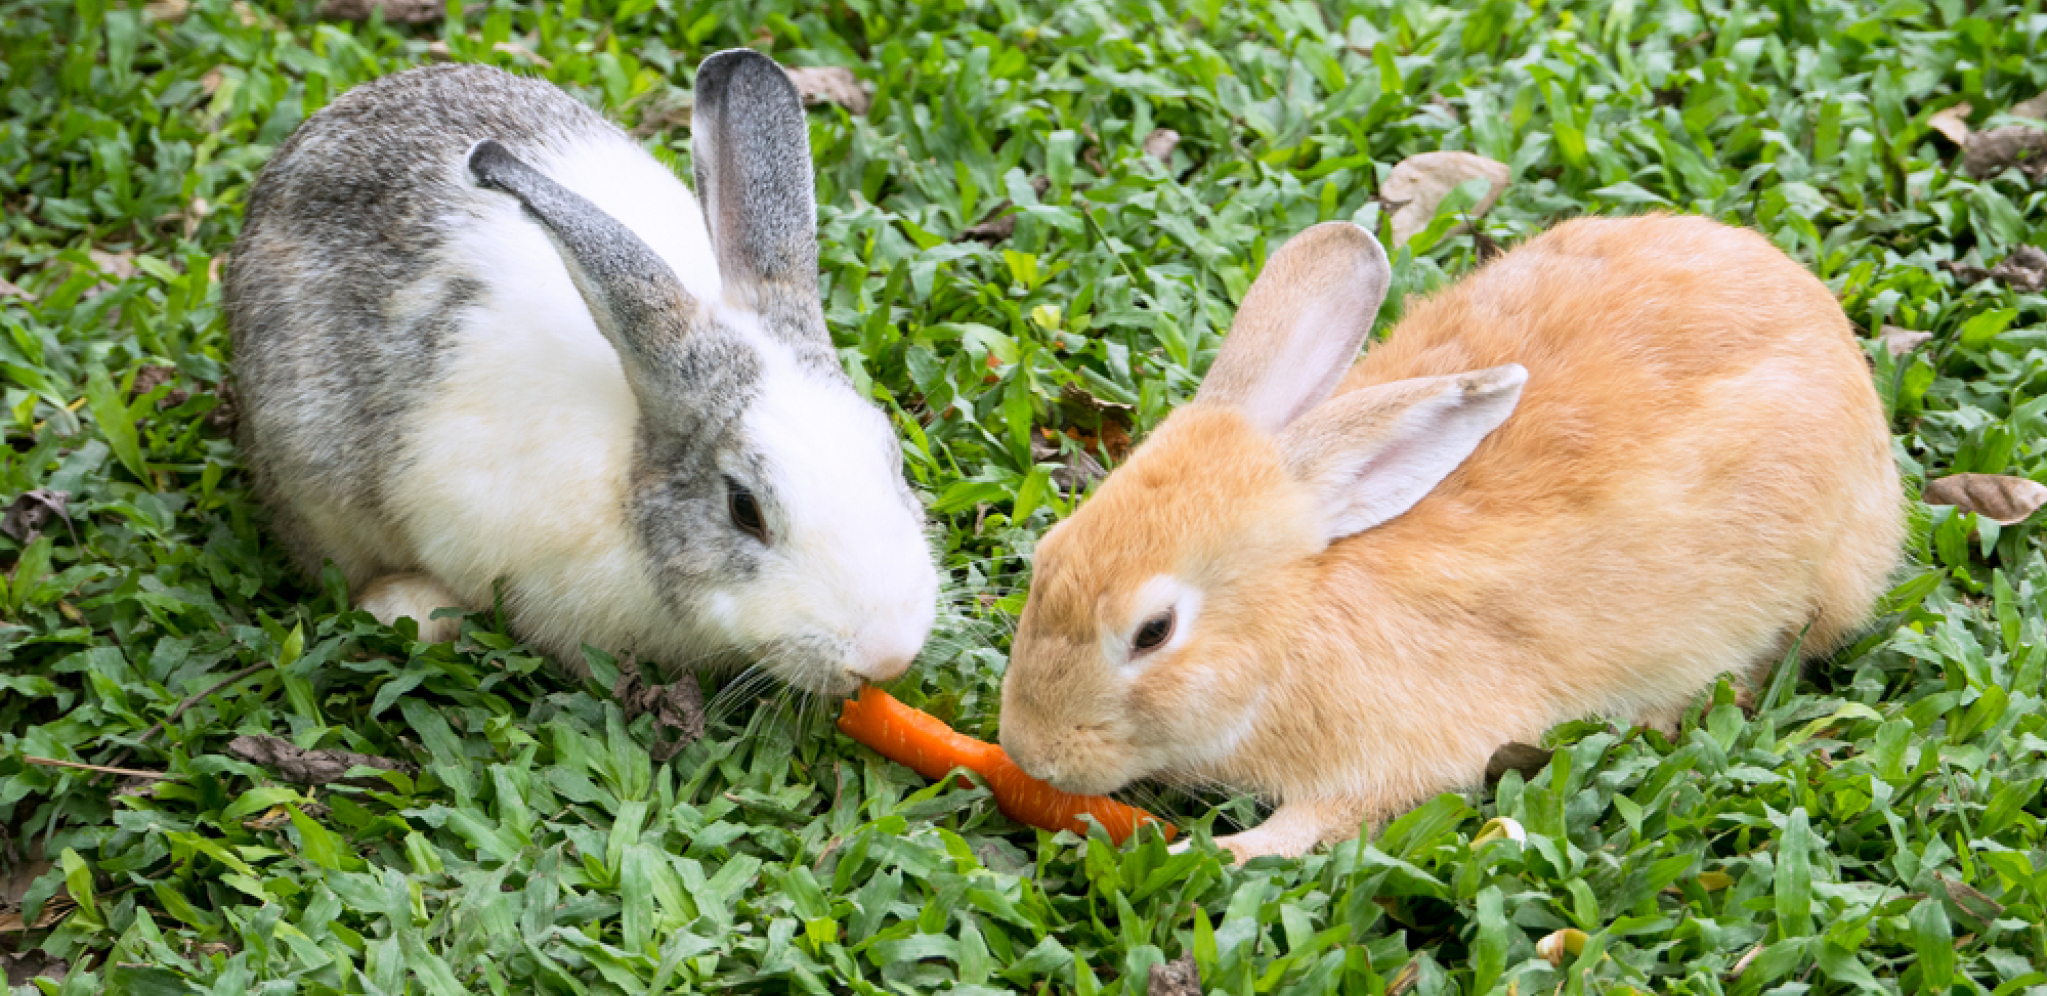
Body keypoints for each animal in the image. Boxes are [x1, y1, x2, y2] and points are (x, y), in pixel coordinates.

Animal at [998, 219, 1907, 867]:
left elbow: (1318, 820)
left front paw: (1221, 852)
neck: (1293, 613)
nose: (1032, 753)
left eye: (1153, 632)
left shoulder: (1388, 759)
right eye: (1047, 558)